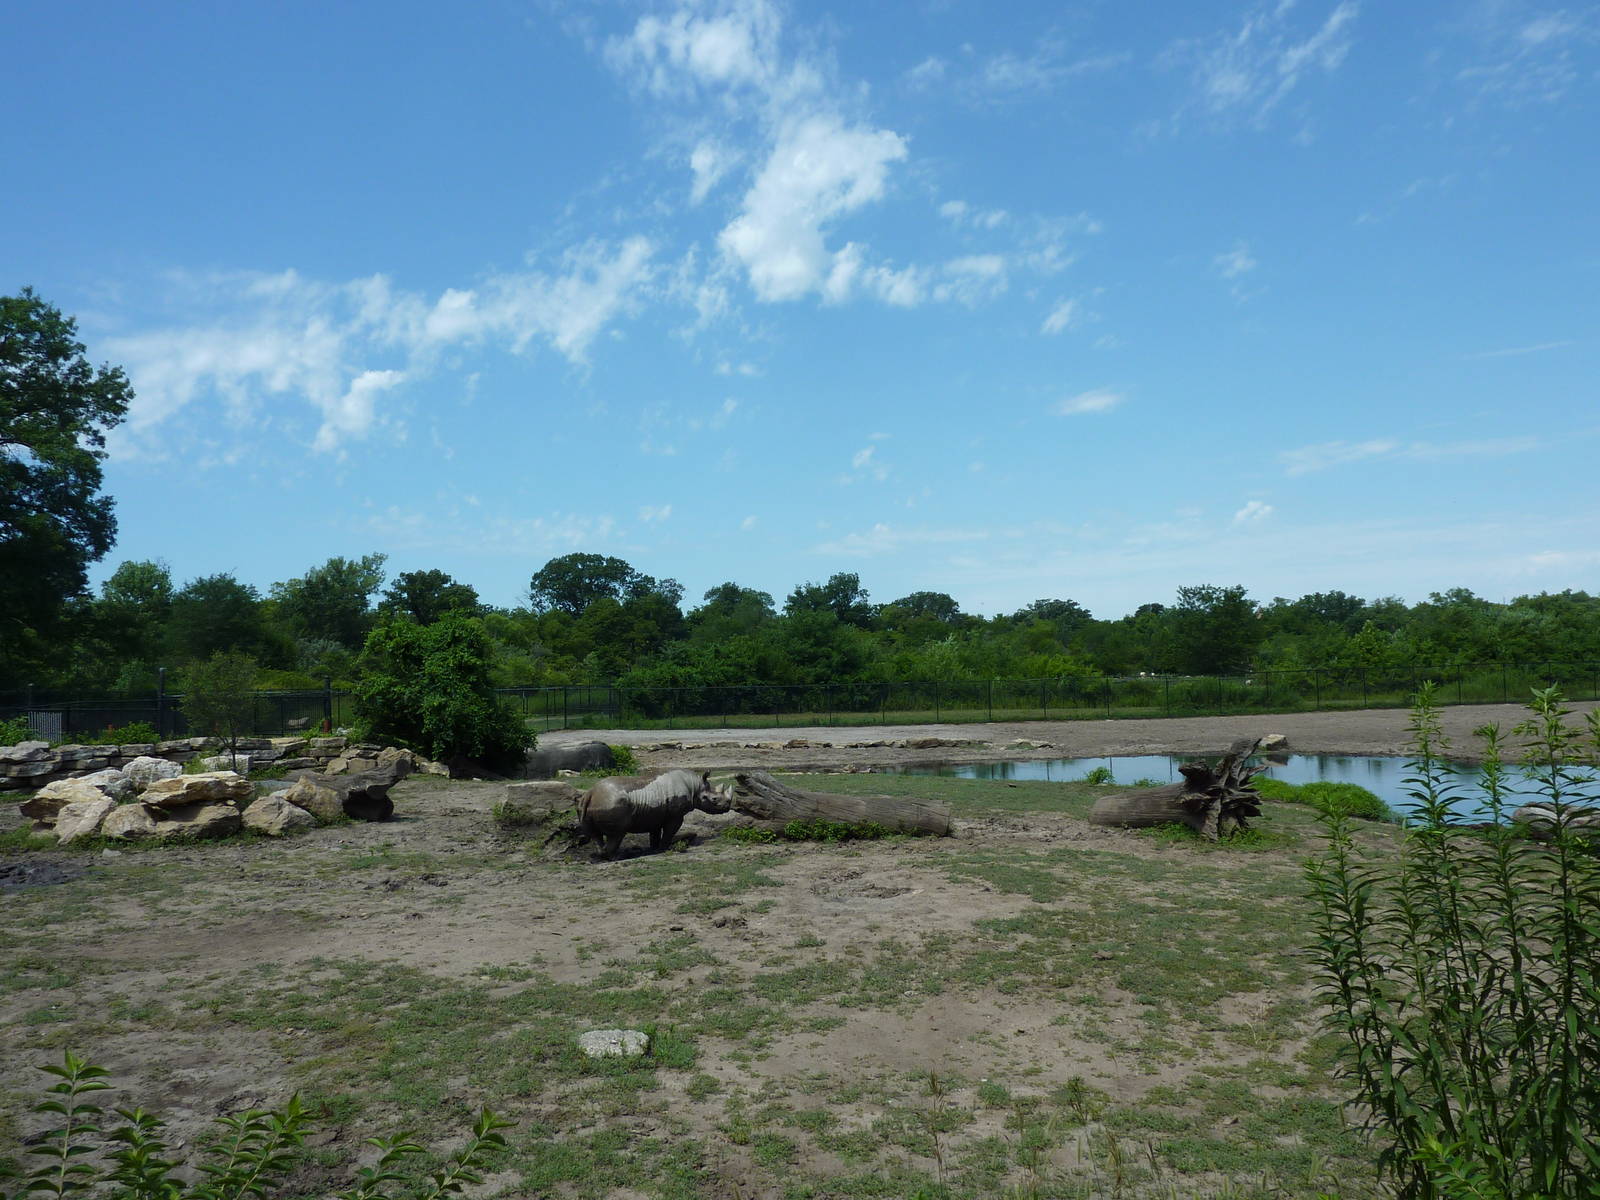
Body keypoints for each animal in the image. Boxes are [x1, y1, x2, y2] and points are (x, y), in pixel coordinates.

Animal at [577, 769, 735, 859]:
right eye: (714, 799)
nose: (727, 807)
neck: (695, 787)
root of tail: (590, 793)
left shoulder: (655, 814)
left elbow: (655, 833)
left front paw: (654, 848)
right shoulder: (675, 816)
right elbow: (669, 831)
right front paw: (665, 848)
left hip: (586, 804)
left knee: (595, 835)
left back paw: (603, 855)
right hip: (612, 803)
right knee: (618, 834)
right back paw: (619, 856)